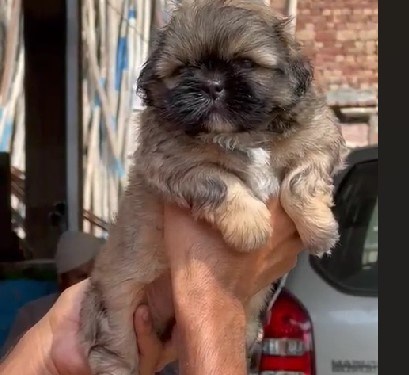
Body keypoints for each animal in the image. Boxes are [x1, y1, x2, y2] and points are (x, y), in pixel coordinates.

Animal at [79, 0, 348, 374]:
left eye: (246, 63)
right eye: (184, 69)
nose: (211, 85)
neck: (241, 135)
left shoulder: (319, 136)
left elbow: (300, 181)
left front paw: (320, 229)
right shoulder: (171, 160)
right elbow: (218, 180)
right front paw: (250, 225)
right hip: (116, 308)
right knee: (113, 347)